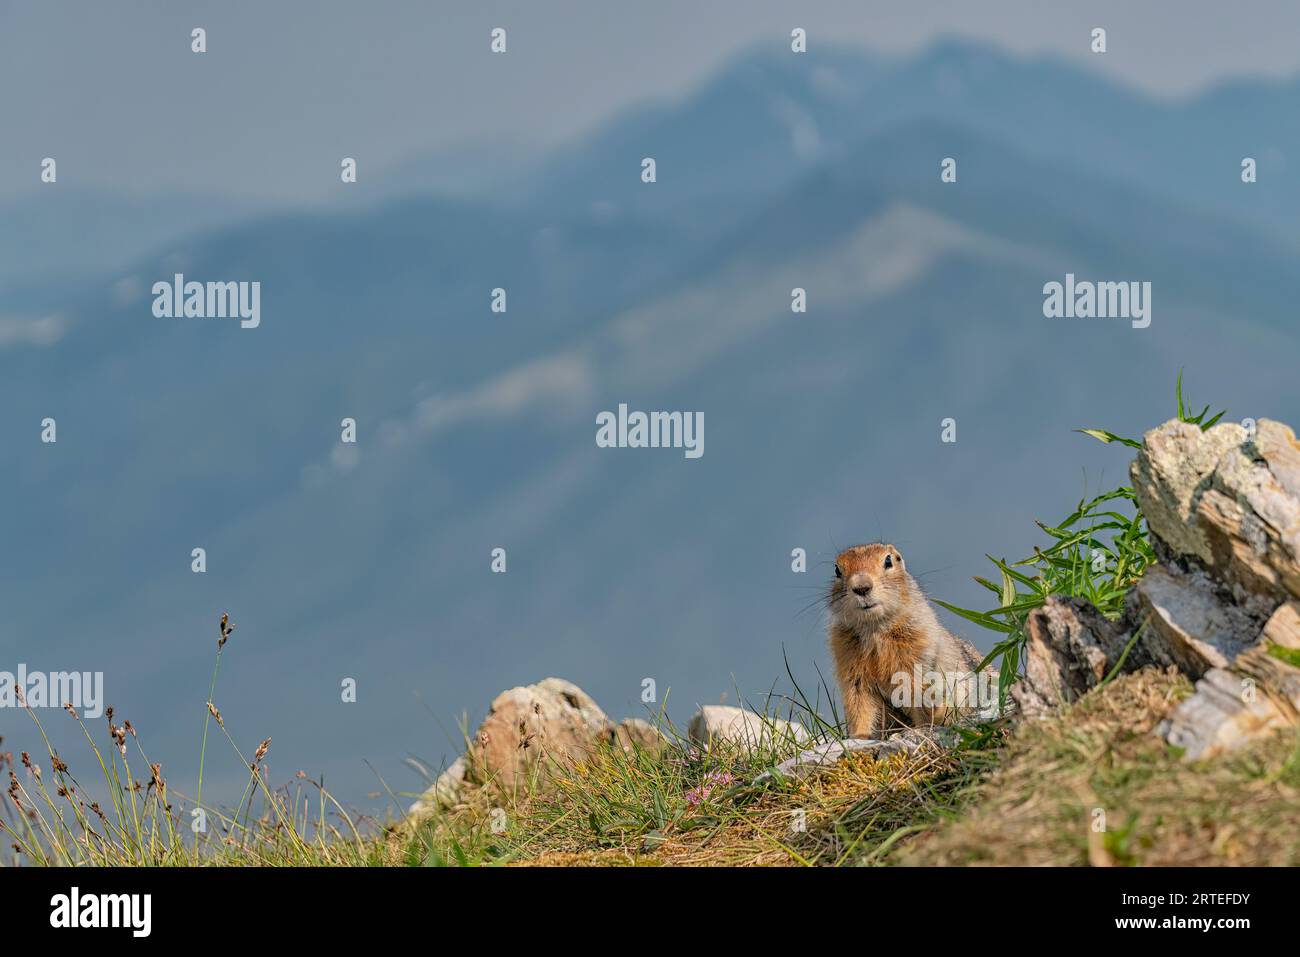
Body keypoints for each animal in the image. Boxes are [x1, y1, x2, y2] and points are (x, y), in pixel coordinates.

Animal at [827, 543, 988, 738]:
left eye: (888, 561)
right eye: (837, 570)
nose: (861, 587)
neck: (874, 629)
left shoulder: (916, 652)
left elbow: (917, 695)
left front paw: (924, 726)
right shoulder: (850, 666)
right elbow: (859, 704)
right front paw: (859, 736)